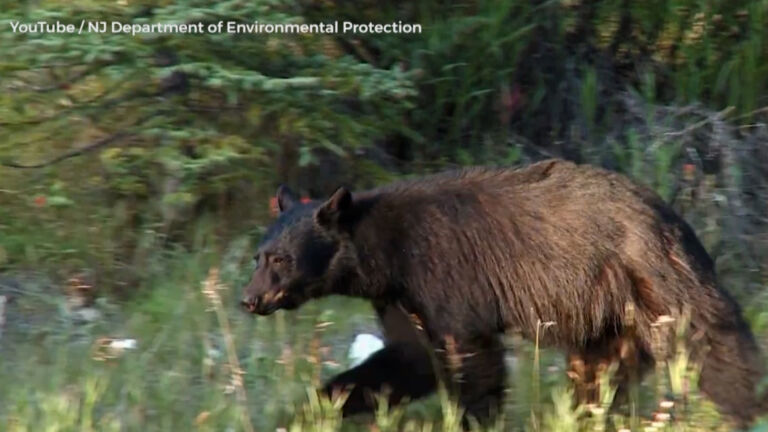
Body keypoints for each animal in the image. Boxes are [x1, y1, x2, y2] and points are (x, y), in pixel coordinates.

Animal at [240, 159, 767, 428]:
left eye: (281, 260)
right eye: (259, 256)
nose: (249, 299)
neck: (384, 255)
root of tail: (670, 213)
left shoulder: (442, 272)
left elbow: (472, 359)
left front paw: (475, 418)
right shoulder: (400, 297)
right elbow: (406, 360)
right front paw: (314, 405)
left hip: (651, 275)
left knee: (709, 340)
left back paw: (744, 407)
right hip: (608, 313)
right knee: (599, 368)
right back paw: (583, 414)